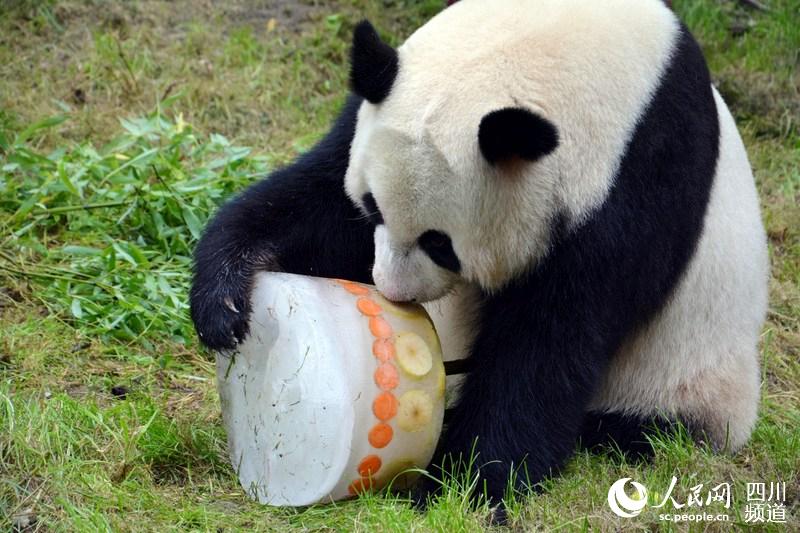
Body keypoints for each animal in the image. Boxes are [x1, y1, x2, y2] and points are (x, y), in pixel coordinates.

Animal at [188, 0, 768, 516]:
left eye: (440, 243)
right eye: (372, 206)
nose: (391, 290)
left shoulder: (639, 173)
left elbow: (554, 338)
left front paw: (460, 484)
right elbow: (319, 202)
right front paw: (225, 301)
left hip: (688, 377)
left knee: (648, 423)